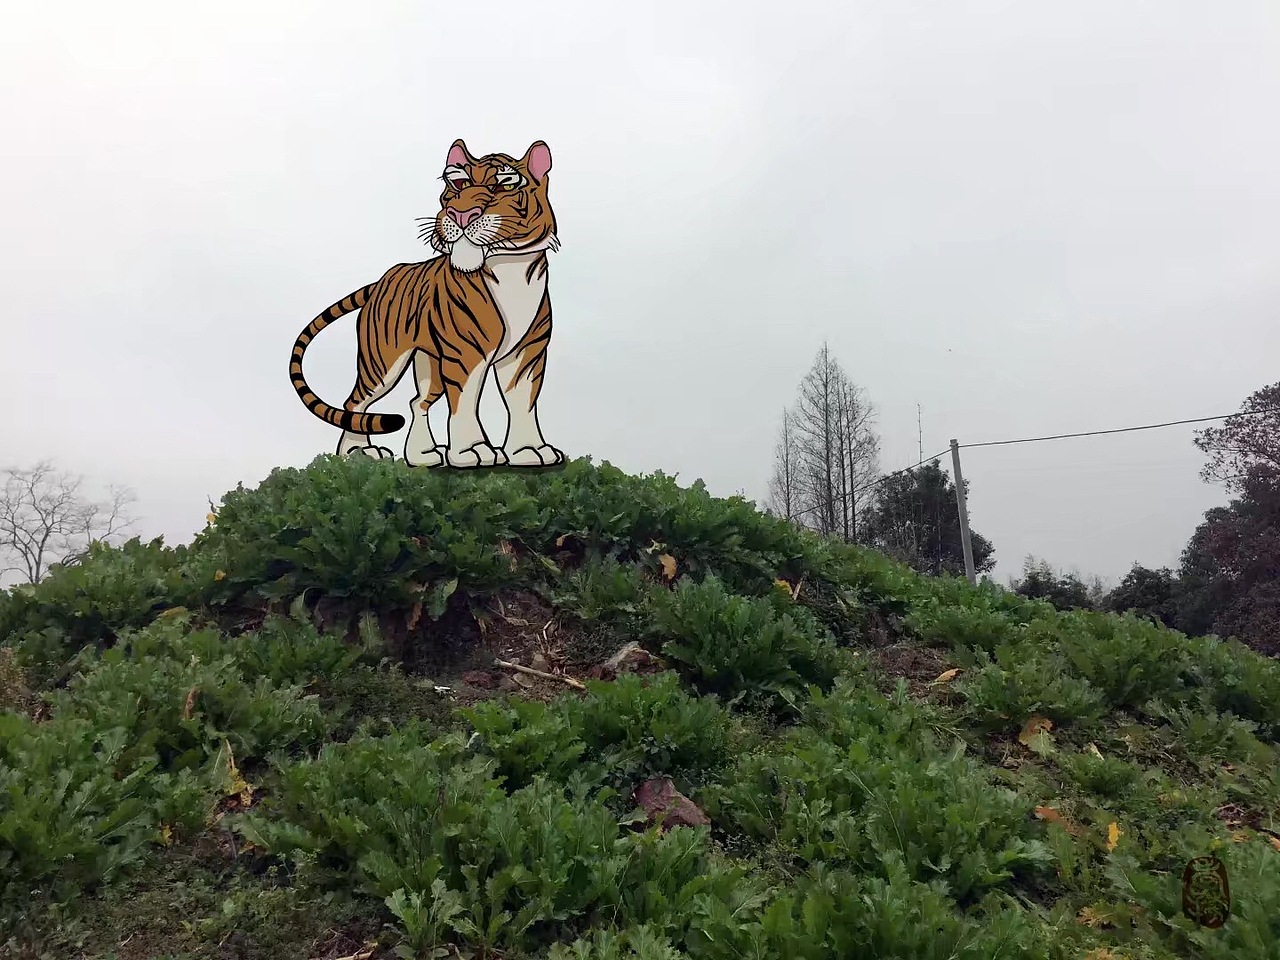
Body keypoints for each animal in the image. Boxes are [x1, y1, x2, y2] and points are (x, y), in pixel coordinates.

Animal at [287, 138, 564, 469]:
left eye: (504, 184)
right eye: (458, 183)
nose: (461, 214)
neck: (510, 267)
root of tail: (382, 279)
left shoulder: (527, 353)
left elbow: (523, 402)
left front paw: (528, 452)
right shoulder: (467, 354)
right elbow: (465, 403)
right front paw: (472, 452)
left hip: (429, 361)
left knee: (417, 402)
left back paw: (422, 457)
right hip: (383, 362)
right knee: (356, 401)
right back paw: (357, 453)